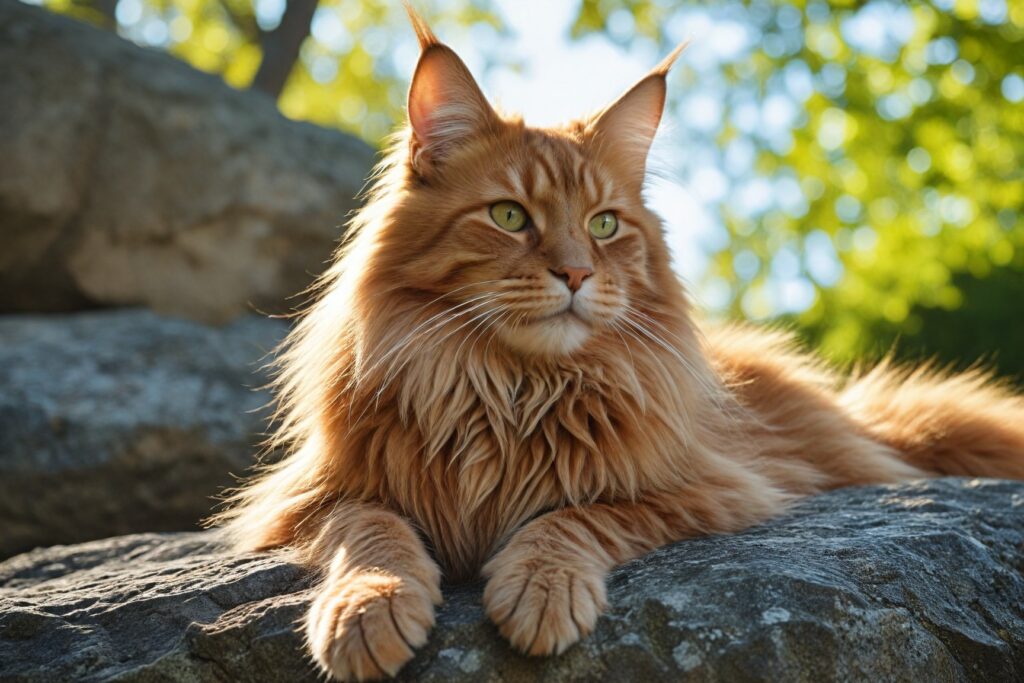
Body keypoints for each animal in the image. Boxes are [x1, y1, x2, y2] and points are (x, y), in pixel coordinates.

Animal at [209, 6, 1024, 683]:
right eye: (509, 216)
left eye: (604, 225)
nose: (575, 272)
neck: (506, 391)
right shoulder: (311, 493)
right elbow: (372, 530)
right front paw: (367, 608)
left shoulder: (710, 486)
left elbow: (572, 517)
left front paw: (540, 589)